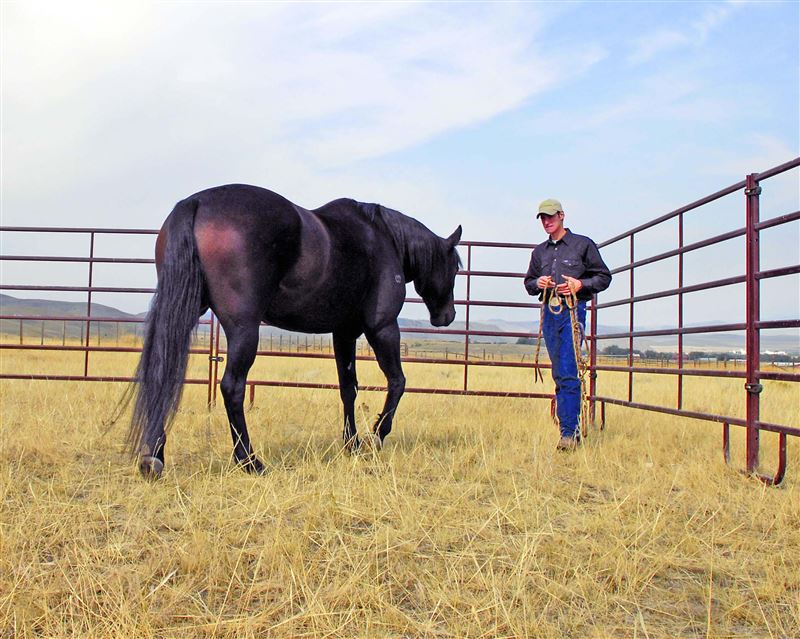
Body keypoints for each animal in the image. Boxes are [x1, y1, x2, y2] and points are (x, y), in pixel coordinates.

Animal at [126, 184, 462, 479]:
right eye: (456, 267)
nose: (448, 316)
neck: (383, 238)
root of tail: (195, 202)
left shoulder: (343, 333)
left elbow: (348, 388)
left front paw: (351, 443)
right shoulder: (382, 327)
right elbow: (397, 382)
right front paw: (375, 437)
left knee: (162, 374)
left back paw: (153, 456)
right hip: (244, 329)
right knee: (232, 387)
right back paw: (250, 461)